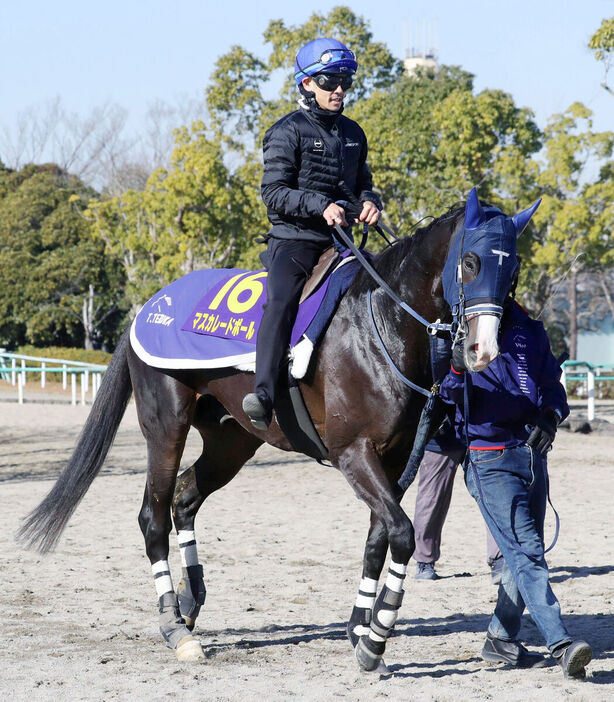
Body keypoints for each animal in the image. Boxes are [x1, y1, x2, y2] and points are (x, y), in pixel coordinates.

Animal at [19, 187, 540, 672]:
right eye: (470, 262)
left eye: (512, 270)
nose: (482, 351)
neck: (382, 325)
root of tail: (150, 307)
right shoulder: (354, 453)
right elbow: (403, 534)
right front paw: (375, 638)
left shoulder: (392, 460)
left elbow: (379, 539)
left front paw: (359, 627)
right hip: (166, 426)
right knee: (153, 517)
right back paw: (174, 625)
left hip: (232, 442)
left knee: (185, 497)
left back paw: (190, 601)